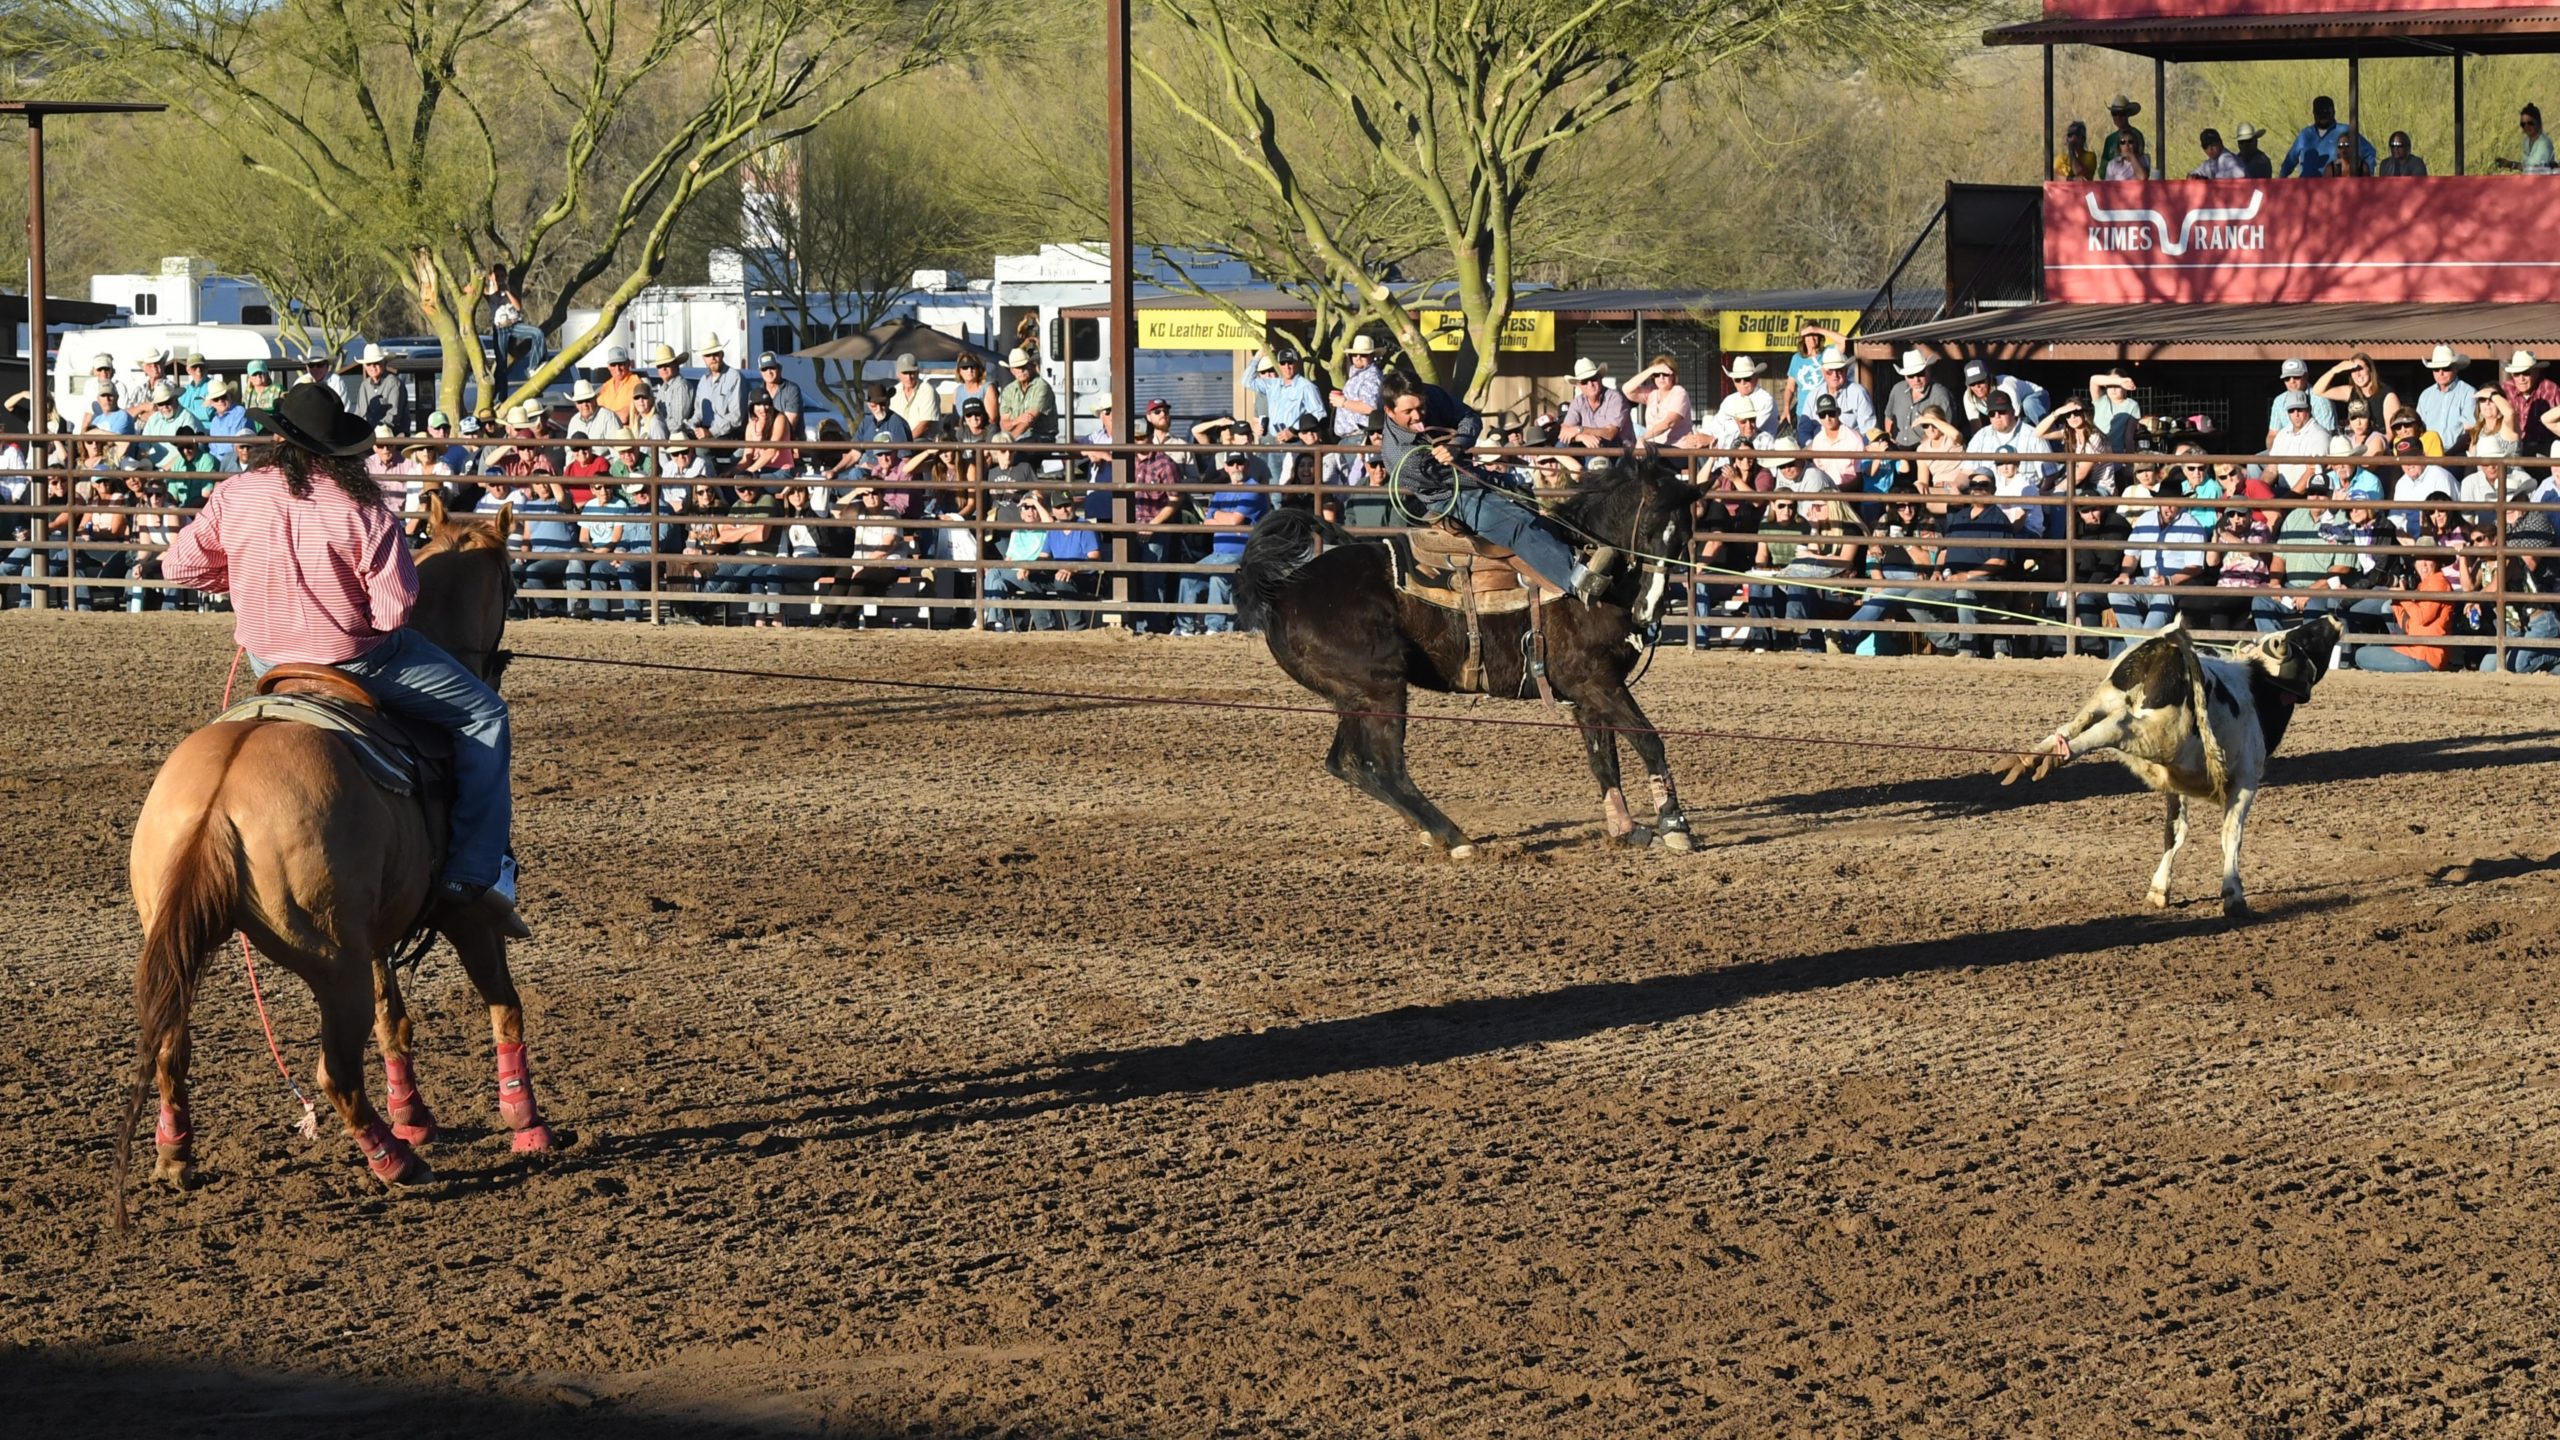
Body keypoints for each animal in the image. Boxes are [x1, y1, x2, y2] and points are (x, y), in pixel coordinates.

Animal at [115, 491, 550, 1219]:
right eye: (513, 583)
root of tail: (218, 797)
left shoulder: (378, 927)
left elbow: (394, 1021)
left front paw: (415, 1113)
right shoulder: (465, 915)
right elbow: (504, 1003)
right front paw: (526, 1123)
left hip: (187, 937)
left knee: (173, 1044)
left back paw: (176, 1157)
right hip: (329, 959)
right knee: (334, 1071)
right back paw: (398, 1164)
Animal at [1233, 453, 1699, 845]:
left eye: (1683, 539)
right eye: (1648, 529)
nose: (1650, 606)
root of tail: (1283, 591)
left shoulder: (1587, 692)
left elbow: (1603, 758)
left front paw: (1626, 829)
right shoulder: (1596, 681)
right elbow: (1649, 742)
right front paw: (1675, 826)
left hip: (1352, 696)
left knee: (1345, 763)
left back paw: (1428, 829)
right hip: (1381, 689)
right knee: (1383, 766)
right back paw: (1454, 837)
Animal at [1996, 609, 2344, 912]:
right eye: (2308, 636)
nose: (2333, 618)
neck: (2257, 691)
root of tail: (2171, 642)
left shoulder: (2176, 784)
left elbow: (2174, 832)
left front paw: (2159, 889)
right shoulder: (2245, 781)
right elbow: (2231, 835)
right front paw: (2233, 894)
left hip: (2107, 699)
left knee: (2075, 723)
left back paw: (2031, 757)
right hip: (2159, 733)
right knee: (2116, 725)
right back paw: (2053, 757)